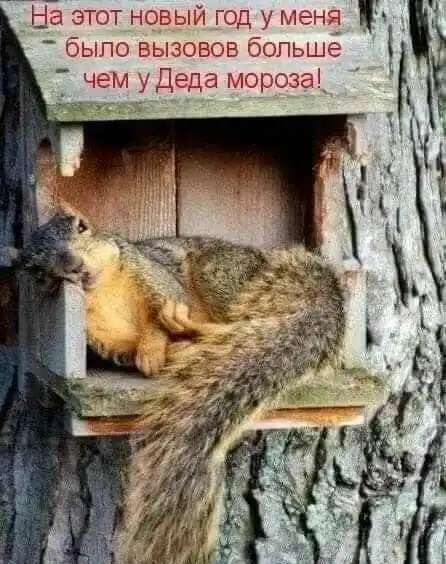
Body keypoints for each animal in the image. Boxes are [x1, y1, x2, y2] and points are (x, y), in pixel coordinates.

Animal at [19, 210, 347, 564]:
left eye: (81, 228)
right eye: (37, 270)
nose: (74, 266)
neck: (103, 293)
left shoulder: (156, 277)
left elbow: (160, 316)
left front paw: (153, 349)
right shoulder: (107, 343)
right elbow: (129, 353)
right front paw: (155, 355)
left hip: (222, 274)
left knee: (234, 322)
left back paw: (195, 332)